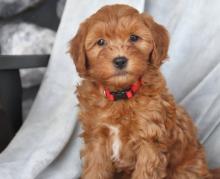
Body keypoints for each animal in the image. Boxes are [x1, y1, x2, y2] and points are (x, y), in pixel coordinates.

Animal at [69, 4, 212, 179]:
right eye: (101, 42)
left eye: (134, 38)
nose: (120, 60)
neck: (120, 96)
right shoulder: (96, 139)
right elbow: (95, 171)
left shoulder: (149, 142)